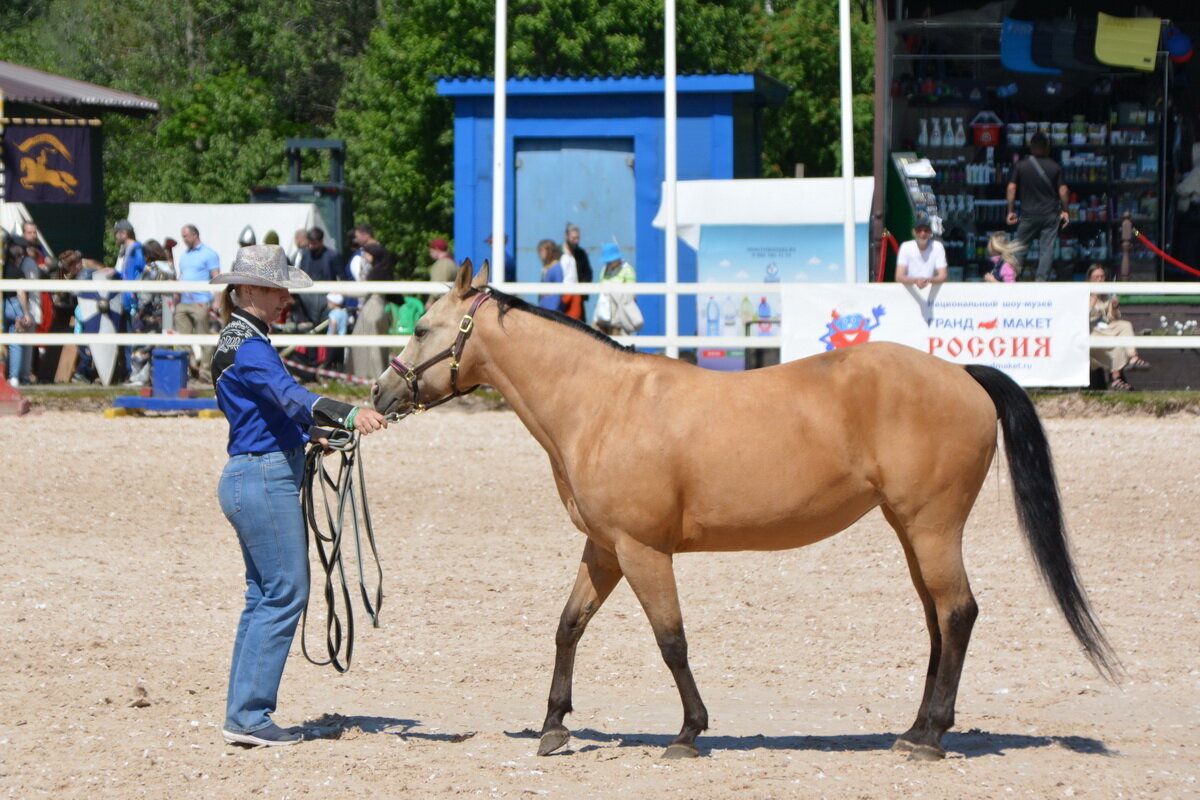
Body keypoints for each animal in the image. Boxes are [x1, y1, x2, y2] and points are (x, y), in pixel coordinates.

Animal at [372, 262, 1113, 762]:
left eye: (424, 327)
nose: (380, 393)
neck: (601, 404)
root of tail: (962, 375)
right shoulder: (605, 548)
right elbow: (568, 627)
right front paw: (555, 726)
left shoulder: (643, 551)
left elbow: (671, 640)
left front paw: (688, 731)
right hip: (910, 531)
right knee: (937, 620)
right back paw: (914, 727)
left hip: (931, 527)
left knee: (957, 614)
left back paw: (928, 738)